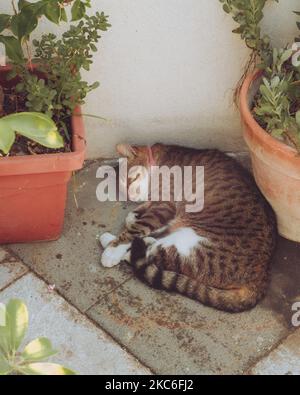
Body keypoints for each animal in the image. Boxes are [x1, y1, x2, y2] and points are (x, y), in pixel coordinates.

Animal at [100, 144, 276, 314]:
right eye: (123, 189)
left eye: (131, 180)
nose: (131, 196)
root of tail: (260, 279)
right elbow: (132, 217)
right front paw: (135, 216)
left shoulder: (165, 205)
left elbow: (136, 228)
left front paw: (113, 249)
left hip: (190, 246)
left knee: (150, 255)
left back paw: (110, 242)